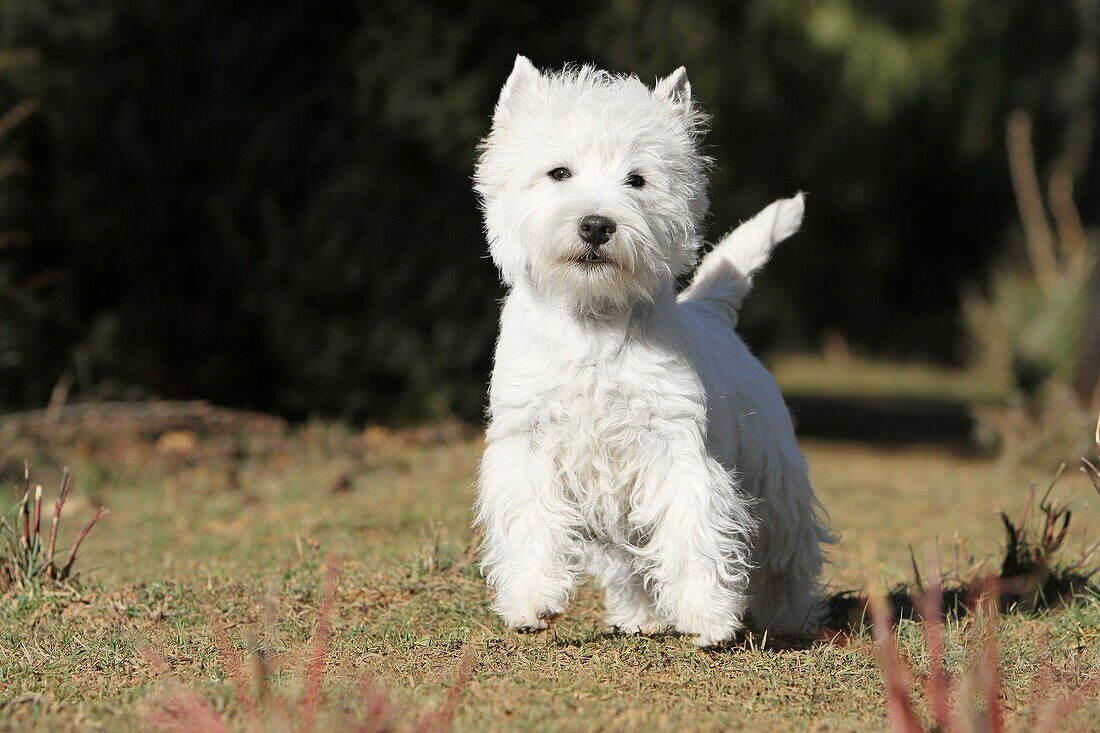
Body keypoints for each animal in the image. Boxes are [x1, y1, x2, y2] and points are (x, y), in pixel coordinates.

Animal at [475, 54, 831, 642]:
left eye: (637, 180)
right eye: (559, 173)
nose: (597, 225)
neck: (593, 321)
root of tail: (709, 312)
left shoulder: (673, 444)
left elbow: (691, 524)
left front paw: (707, 614)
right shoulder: (527, 439)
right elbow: (530, 519)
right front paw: (531, 599)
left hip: (774, 472)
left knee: (787, 550)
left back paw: (793, 617)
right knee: (629, 560)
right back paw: (641, 618)